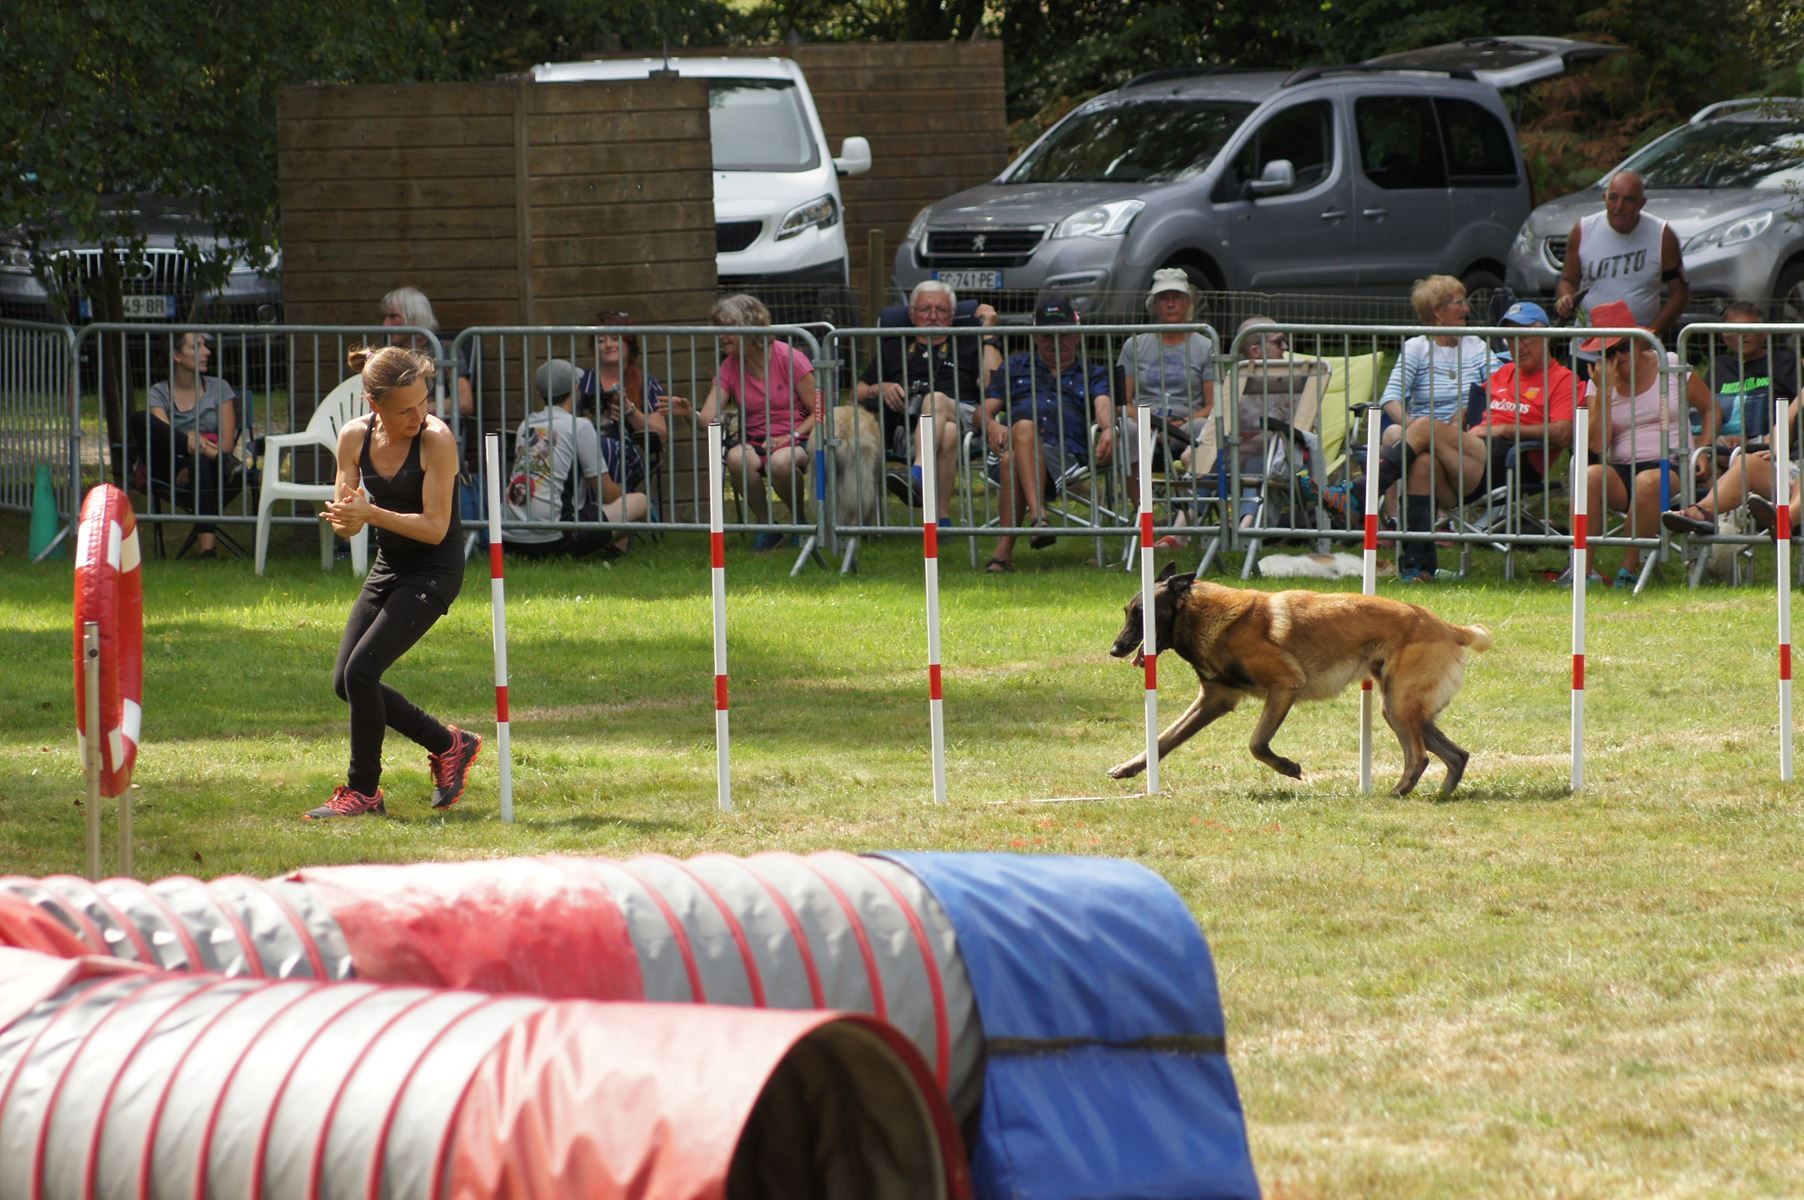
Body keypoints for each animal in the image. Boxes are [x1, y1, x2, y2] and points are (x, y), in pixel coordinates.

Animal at [1111, 563, 1493, 793]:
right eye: (1128, 612)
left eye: (1142, 614)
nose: (1115, 649)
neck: (1203, 616)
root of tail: (1447, 627)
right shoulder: (1213, 700)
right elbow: (1164, 739)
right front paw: (1129, 767)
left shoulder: (1284, 686)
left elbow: (1256, 744)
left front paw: (1287, 767)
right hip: (1403, 709)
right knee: (1456, 755)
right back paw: (1442, 795)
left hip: (1399, 706)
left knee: (1420, 757)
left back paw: (1397, 793)